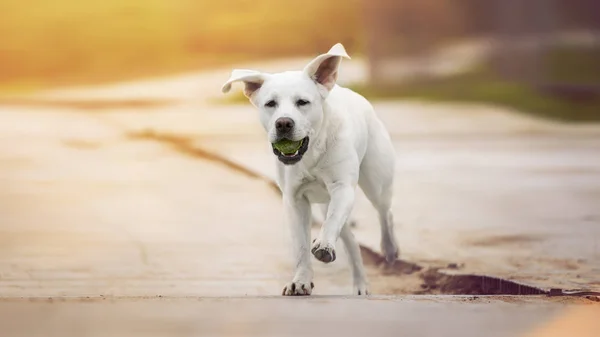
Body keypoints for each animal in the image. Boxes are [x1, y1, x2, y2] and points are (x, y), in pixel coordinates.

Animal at [220, 42, 398, 294]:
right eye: (270, 103)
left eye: (302, 102)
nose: (284, 123)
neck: (311, 153)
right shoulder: (295, 201)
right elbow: (301, 246)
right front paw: (301, 280)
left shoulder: (342, 188)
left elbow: (332, 221)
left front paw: (323, 245)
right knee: (351, 240)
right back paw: (360, 284)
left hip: (376, 182)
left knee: (385, 213)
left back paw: (390, 249)